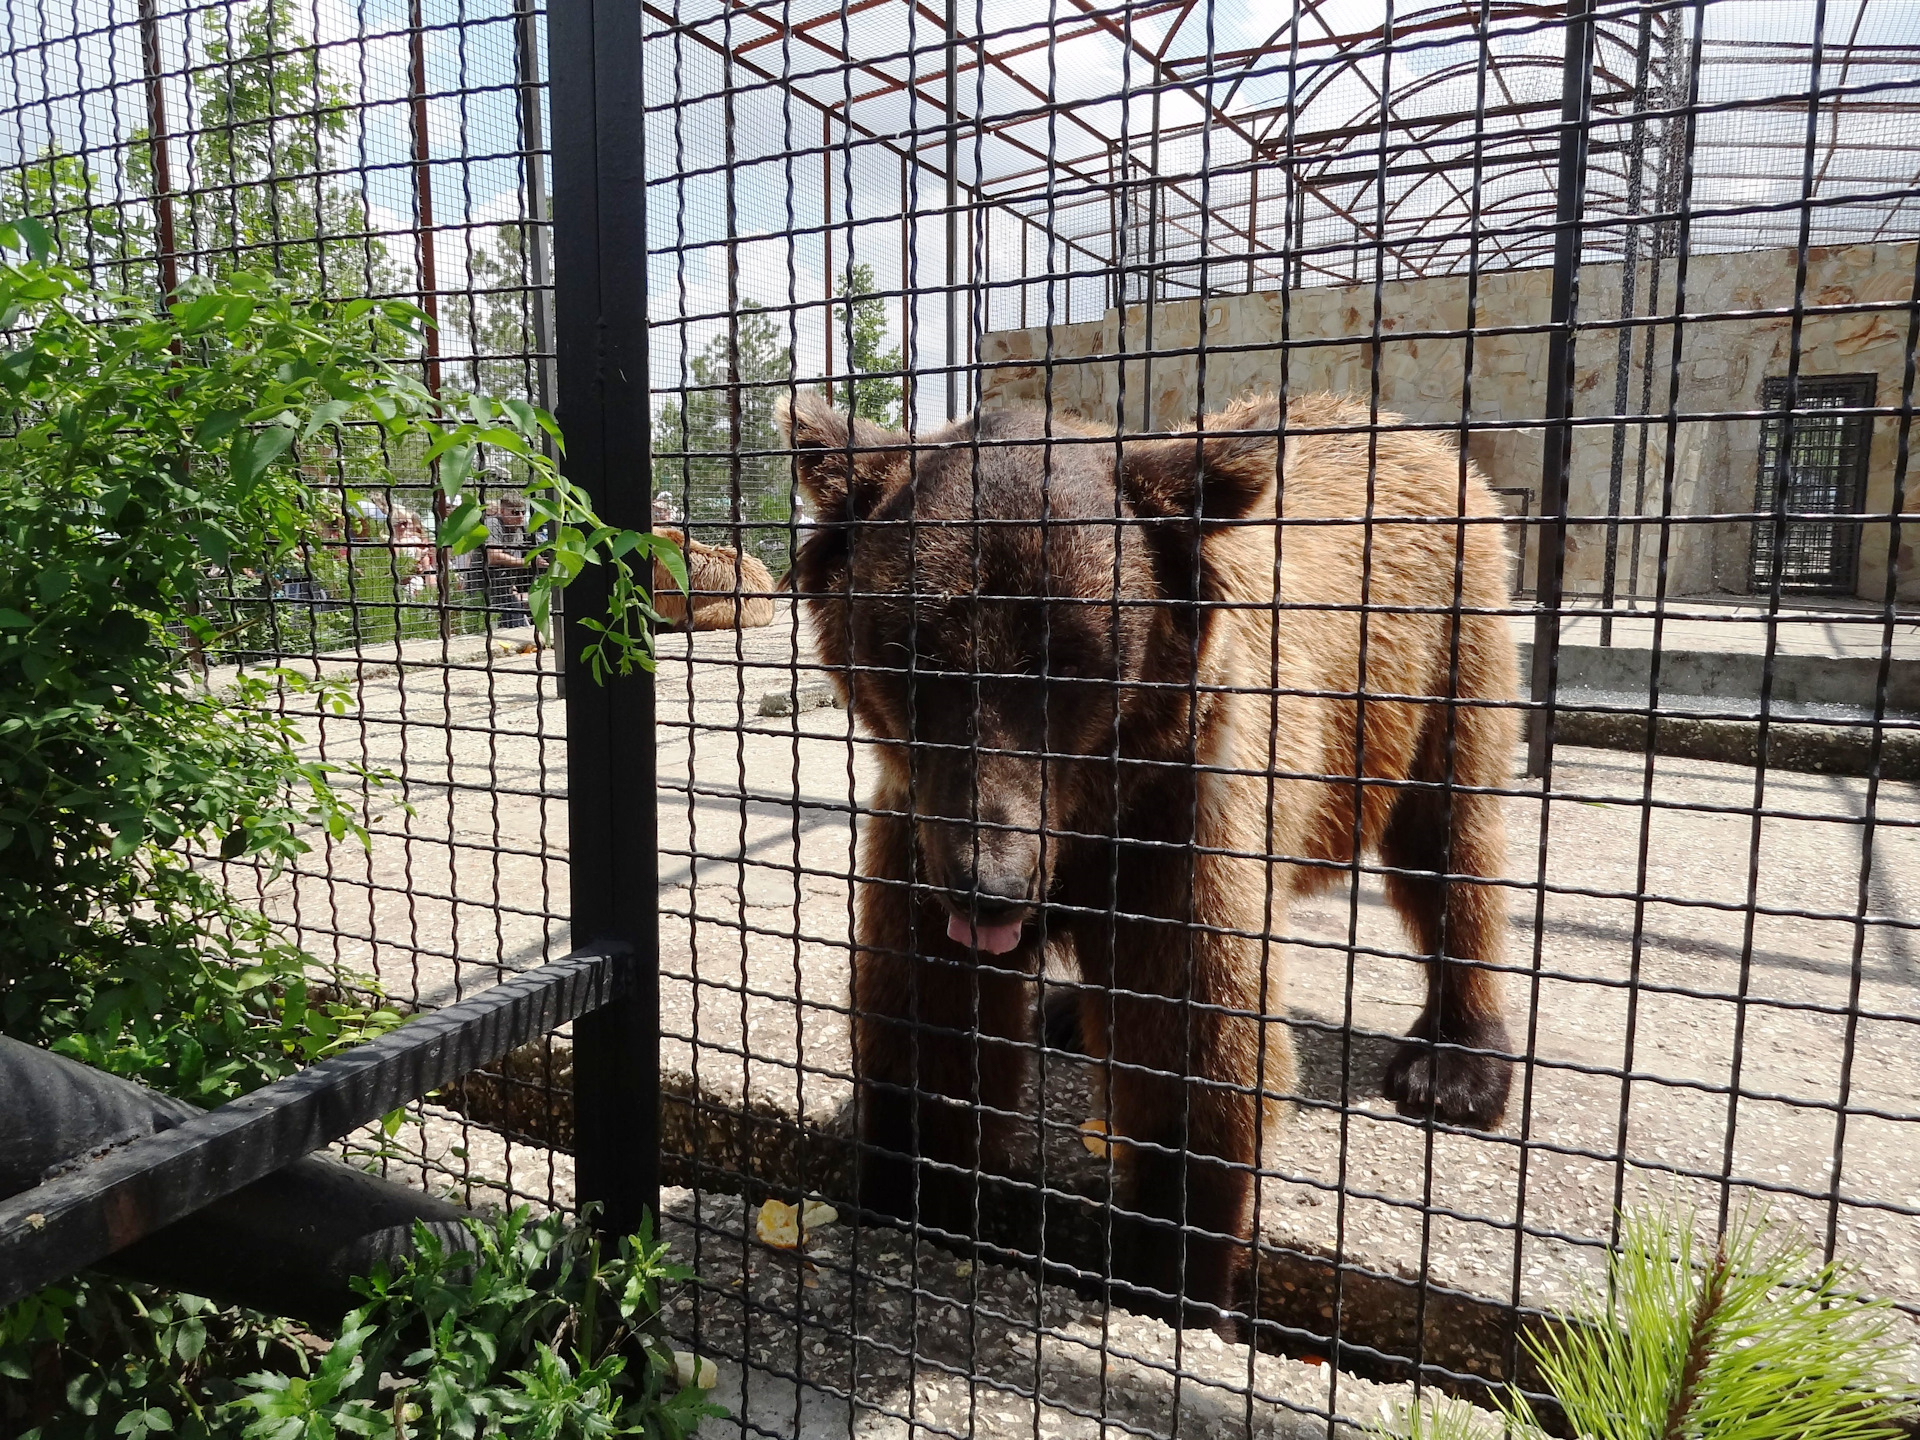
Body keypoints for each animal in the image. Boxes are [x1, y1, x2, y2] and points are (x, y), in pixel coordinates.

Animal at [775, 391, 1512, 1328]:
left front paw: (1176, 1275)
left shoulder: (1178, 812)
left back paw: (1456, 1064)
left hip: (1441, 655)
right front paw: (909, 1190)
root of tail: (1408, 429)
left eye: (1076, 663)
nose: (991, 890)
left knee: (1449, 844)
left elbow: (1195, 1053)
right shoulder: (922, 828)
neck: (1085, 821)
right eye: (914, 654)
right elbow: (925, 1022)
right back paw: (1063, 1013)